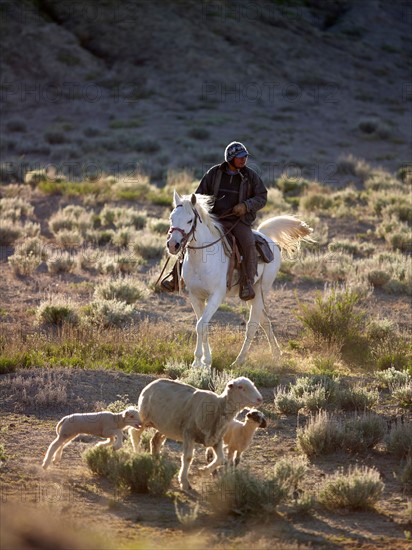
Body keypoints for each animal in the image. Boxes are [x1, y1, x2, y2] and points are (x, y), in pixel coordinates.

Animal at [129, 380, 262, 492]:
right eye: (241, 387)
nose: (260, 399)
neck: (218, 408)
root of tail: (152, 383)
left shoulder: (216, 439)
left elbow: (220, 459)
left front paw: (203, 471)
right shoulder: (189, 433)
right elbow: (188, 458)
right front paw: (184, 482)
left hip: (165, 425)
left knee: (155, 440)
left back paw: (156, 459)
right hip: (144, 418)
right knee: (134, 433)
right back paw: (138, 454)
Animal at [167, 192, 312, 368]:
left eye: (189, 220)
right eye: (172, 217)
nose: (172, 245)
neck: (202, 258)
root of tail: (265, 236)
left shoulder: (216, 296)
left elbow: (201, 325)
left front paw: (204, 361)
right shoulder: (195, 296)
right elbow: (202, 325)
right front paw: (199, 361)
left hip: (259, 291)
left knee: (253, 324)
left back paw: (239, 360)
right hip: (251, 296)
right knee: (265, 321)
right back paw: (276, 354)